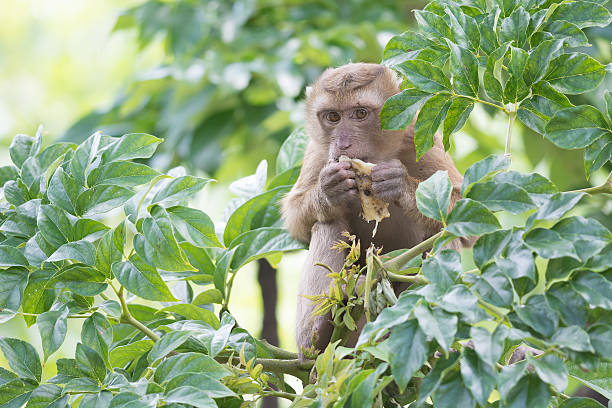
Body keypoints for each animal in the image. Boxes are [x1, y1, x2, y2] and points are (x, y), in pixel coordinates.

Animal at [280, 61, 470, 356]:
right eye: (333, 117)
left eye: (360, 113)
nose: (343, 143)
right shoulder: (318, 151)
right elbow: (296, 218)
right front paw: (329, 190)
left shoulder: (419, 136)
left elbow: (468, 212)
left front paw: (398, 183)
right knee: (328, 223)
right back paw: (317, 332)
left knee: (442, 233)